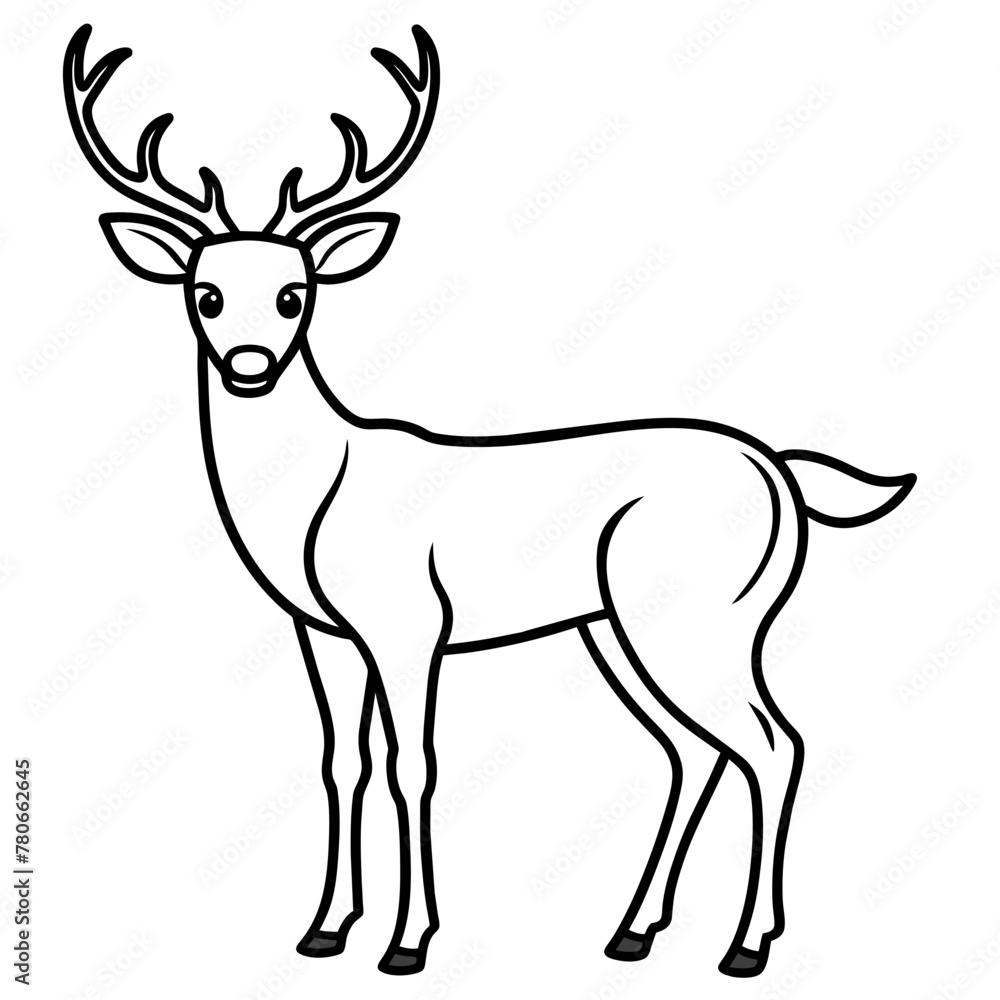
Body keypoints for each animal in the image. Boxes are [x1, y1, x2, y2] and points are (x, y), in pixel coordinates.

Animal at [64, 22, 915, 978]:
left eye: (295, 293)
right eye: (203, 293)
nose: (251, 365)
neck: (316, 497)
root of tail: (780, 471)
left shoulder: (408, 622)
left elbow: (414, 764)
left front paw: (408, 942)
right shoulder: (322, 631)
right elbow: (340, 762)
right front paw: (324, 928)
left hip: (710, 615)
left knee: (773, 743)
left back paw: (746, 946)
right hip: (618, 626)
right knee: (696, 750)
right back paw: (633, 931)